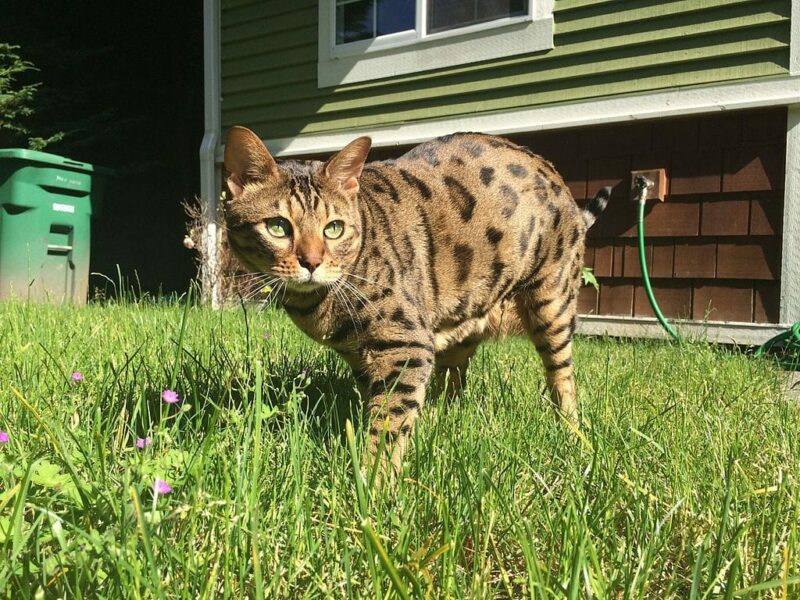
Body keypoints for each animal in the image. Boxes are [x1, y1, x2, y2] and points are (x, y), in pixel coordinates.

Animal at [222, 126, 608, 472]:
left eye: (334, 228)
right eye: (277, 227)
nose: (312, 262)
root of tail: (560, 182)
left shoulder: (406, 345)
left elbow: (388, 425)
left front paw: (373, 483)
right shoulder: (362, 357)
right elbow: (378, 408)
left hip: (552, 304)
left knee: (563, 377)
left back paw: (572, 432)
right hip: (462, 322)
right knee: (454, 384)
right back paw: (440, 419)